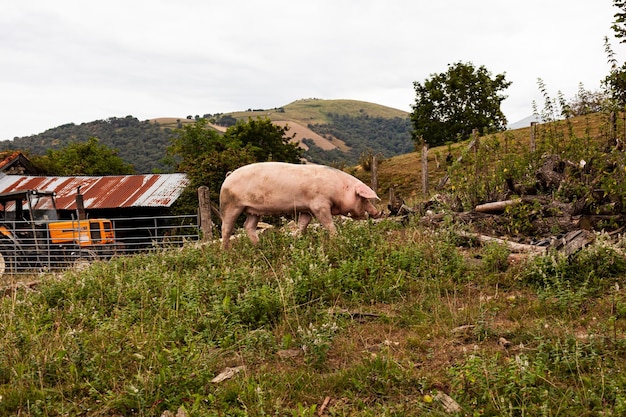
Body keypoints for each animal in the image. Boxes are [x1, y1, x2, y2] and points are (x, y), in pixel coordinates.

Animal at [217, 162, 378, 247]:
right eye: (364, 199)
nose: (377, 212)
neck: (339, 189)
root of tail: (229, 176)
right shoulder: (319, 205)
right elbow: (328, 223)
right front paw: (337, 239)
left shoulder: (307, 210)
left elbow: (303, 224)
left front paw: (297, 238)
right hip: (230, 204)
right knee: (226, 228)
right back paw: (226, 250)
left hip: (253, 210)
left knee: (248, 226)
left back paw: (259, 245)